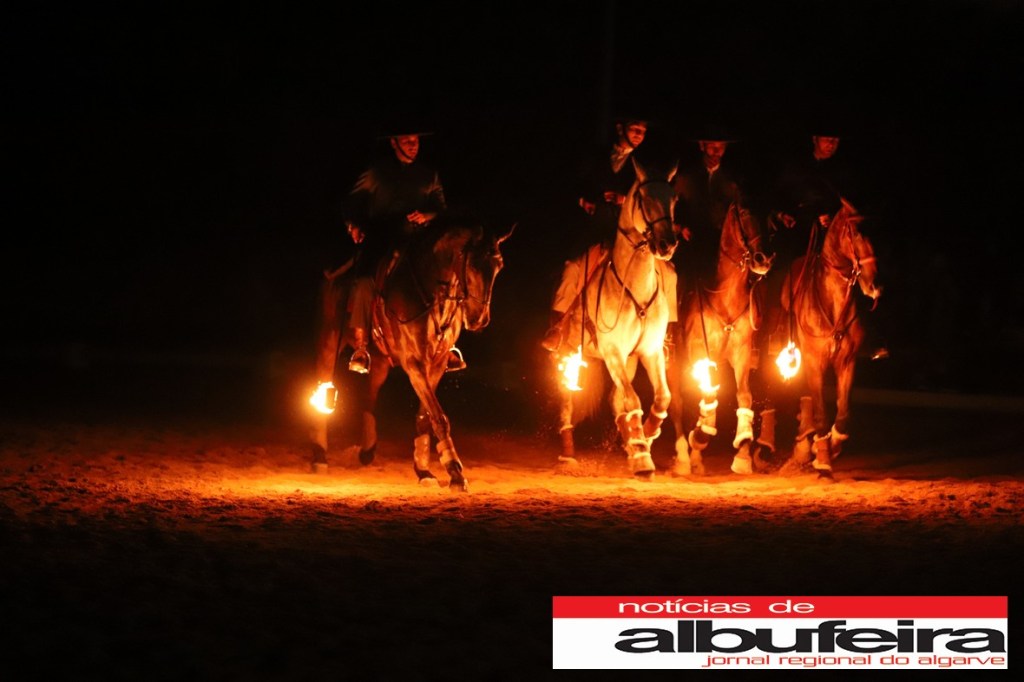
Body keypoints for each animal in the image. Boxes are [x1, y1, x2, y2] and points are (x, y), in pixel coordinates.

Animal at [310, 214, 514, 492]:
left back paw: (367, 449)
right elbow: (439, 416)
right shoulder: (415, 364)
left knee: (369, 395)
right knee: (322, 384)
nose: (479, 319)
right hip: (329, 341)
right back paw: (319, 456)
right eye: (471, 265)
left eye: (499, 265)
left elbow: (425, 417)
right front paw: (455, 471)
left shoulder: (436, 365)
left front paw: (424, 470)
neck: (431, 292)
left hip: (380, 360)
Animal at [556, 156, 679, 480]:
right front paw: (642, 455)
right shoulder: (613, 352)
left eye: (674, 198)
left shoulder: (648, 352)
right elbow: (632, 399)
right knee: (567, 398)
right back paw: (568, 452)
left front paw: (645, 436)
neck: (633, 283)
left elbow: (661, 398)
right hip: (568, 352)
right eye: (644, 198)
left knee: (616, 401)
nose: (667, 244)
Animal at [668, 202, 774, 476]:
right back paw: (683, 457)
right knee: (677, 404)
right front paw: (699, 437)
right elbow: (707, 397)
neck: (724, 296)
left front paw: (743, 455)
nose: (764, 258)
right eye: (745, 212)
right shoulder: (700, 354)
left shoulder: (741, 354)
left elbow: (744, 396)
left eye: (769, 211)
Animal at [776, 198, 881, 478]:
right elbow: (821, 412)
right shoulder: (814, 363)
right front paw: (822, 458)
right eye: (855, 233)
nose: (875, 286)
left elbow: (843, 414)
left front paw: (832, 446)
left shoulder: (847, 362)